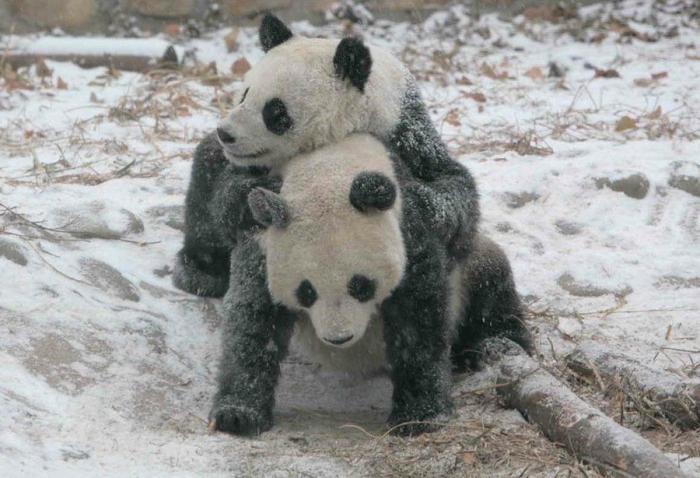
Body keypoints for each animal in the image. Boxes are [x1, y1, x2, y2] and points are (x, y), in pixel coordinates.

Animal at [209, 134, 532, 436]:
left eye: (360, 285)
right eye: (306, 291)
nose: (339, 338)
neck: (328, 169)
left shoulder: (408, 230)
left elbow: (418, 321)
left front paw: (419, 416)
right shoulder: (263, 242)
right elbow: (253, 320)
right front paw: (238, 414)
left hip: (469, 269)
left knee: (490, 286)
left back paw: (493, 344)